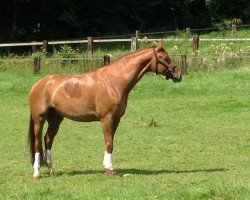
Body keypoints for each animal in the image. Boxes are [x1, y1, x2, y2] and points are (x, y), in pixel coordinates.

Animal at [28, 40, 182, 178]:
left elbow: (111, 141)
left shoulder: (116, 119)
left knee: (48, 140)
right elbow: (109, 143)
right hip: (39, 120)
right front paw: (109, 169)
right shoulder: (106, 119)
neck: (114, 81)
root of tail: (38, 84)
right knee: (37, 143)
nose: (179, 74)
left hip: (55, 119)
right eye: (165, 58)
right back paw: (36, 173)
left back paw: (51, 170)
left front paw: (108, 167)